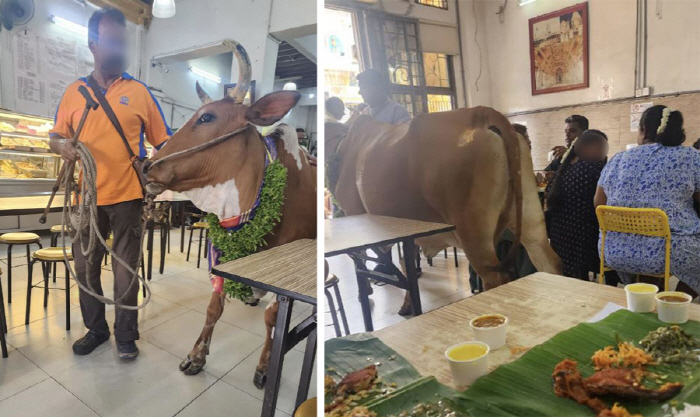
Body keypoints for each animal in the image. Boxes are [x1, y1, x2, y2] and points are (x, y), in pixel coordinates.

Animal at [144, 40, 316, 382]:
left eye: (207, 117)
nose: (145, 165)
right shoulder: (221, 255)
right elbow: (214, 308)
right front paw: (196, 355)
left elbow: (273, 319)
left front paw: (265, 366)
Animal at [328, 107, 564, 312]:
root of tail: (479, 112)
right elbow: (406, 264)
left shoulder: (355, 214)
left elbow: (366, 261)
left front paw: (366, 294)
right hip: (531, 220)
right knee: (550, 263)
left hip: (474, 236)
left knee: (496, 279)